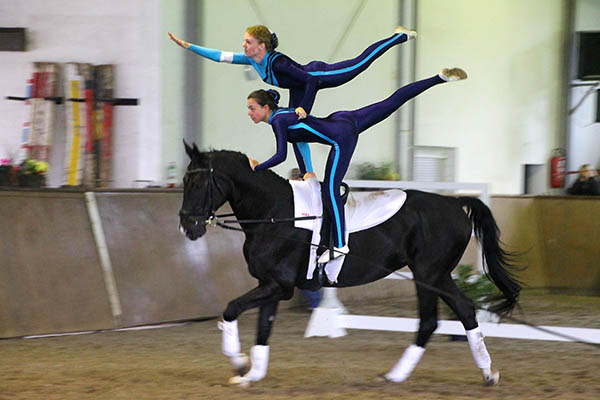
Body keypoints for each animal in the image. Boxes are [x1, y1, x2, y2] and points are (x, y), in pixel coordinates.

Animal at [178, 145, 520, 386]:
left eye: (198, 182)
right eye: (184, 180)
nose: (187, 227)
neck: (275, 213)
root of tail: (455, 203)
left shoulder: (278, 286)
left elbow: (231, 309)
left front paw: (237, 362)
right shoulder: (270, 285)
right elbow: (263, 329)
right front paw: (251, 374)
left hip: (429, 274)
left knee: (432, 320)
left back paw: (397, 375)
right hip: (436, 275)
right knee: (460, 312)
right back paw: (485, 374)